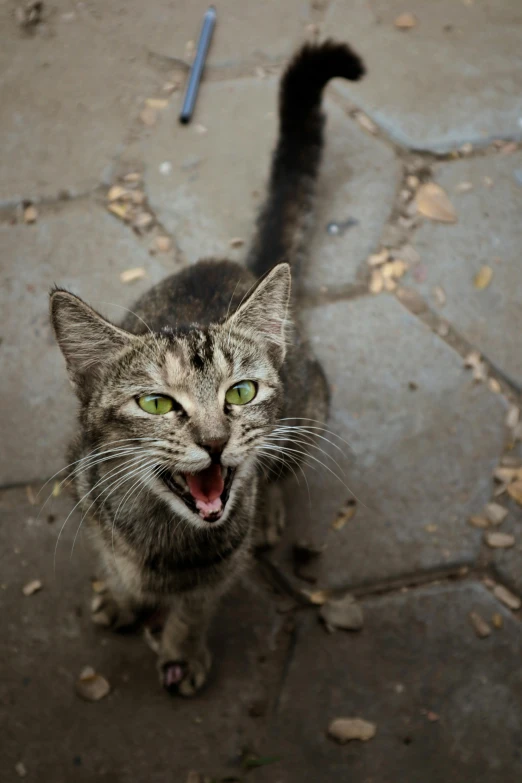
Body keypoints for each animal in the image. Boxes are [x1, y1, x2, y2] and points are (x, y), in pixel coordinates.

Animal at [50, 38, 364, 700]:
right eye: (156, 403)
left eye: (240, 393)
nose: (217, 442)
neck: (161, 540)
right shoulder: (90, 504)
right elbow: (113, 563)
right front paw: (123, 598)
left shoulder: (219, 568)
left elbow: (195, 608)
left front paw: (182, 650)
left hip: (311, 412)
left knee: (281, 465)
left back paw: (269, 507)